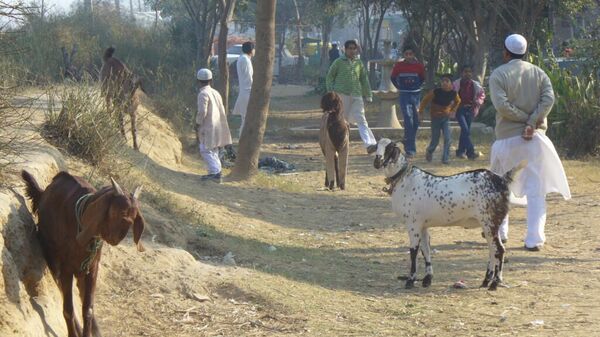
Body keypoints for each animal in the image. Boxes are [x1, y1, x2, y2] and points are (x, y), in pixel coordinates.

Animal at [21, 171, 145, 336]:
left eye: (135, 214)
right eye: (117, 210)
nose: (119, 235)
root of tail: (42, 194)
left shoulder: (92, 268)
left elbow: (88, 310)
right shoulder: (66, 269)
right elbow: (68, 309)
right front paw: (73, 333)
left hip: (81, 270)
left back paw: (95, 330)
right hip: (51, 256)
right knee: (62, 290)